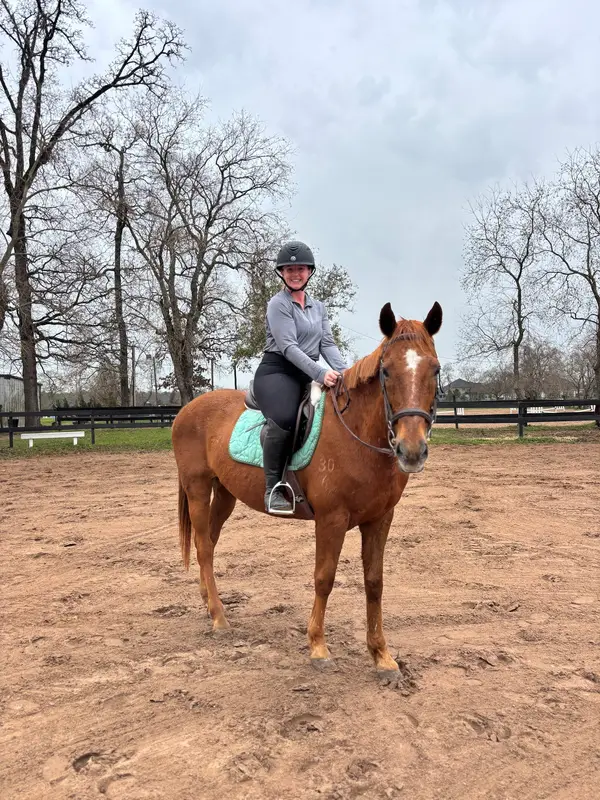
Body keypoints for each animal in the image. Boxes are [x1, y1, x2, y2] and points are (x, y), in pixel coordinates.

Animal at [172, 300, 443, 675]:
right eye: (386, 372)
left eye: (435, 370)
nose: (412, 450)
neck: (356, 433)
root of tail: (187, 409)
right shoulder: (331, 519)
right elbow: (324, 577)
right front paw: (317, 646)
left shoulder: (380, 519)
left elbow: (374, 582)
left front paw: (382, 656)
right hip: (197, 489)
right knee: (202, 547)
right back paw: (218, 617)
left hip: (224, 494)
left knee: (208, 544)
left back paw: (208, 603)